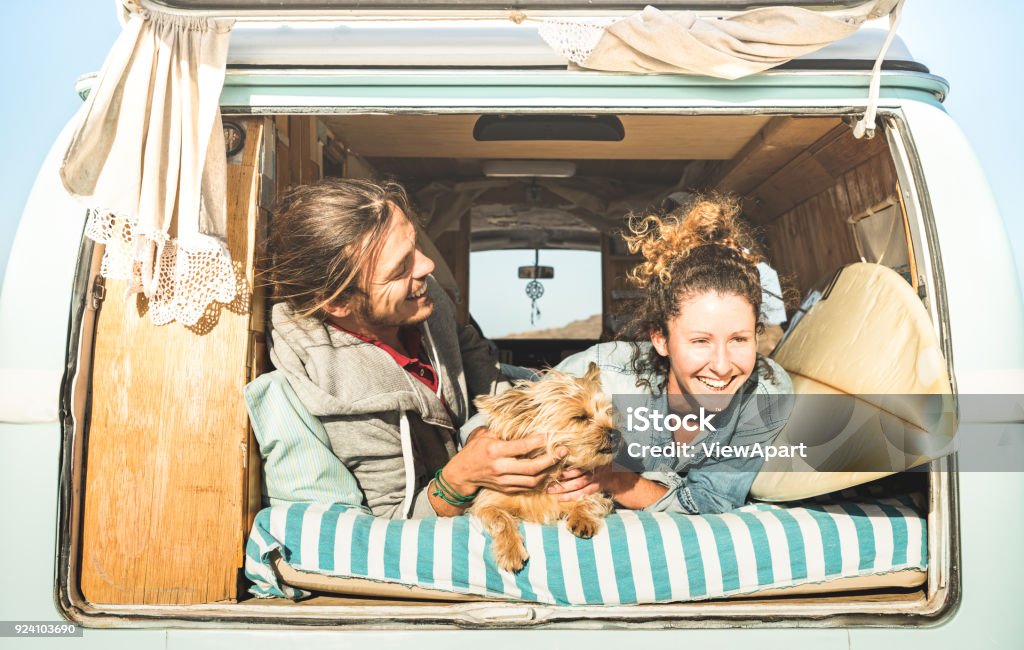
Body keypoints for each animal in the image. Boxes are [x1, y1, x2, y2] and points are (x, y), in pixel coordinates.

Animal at [468, 366, 614, 573]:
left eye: (609, 413)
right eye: (580, 417)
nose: (615, 433)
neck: (549, 478)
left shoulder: (594, 492)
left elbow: (590, 500)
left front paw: (582, 517)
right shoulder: (486, 502)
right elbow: (500, 518)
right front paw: (511, 550)